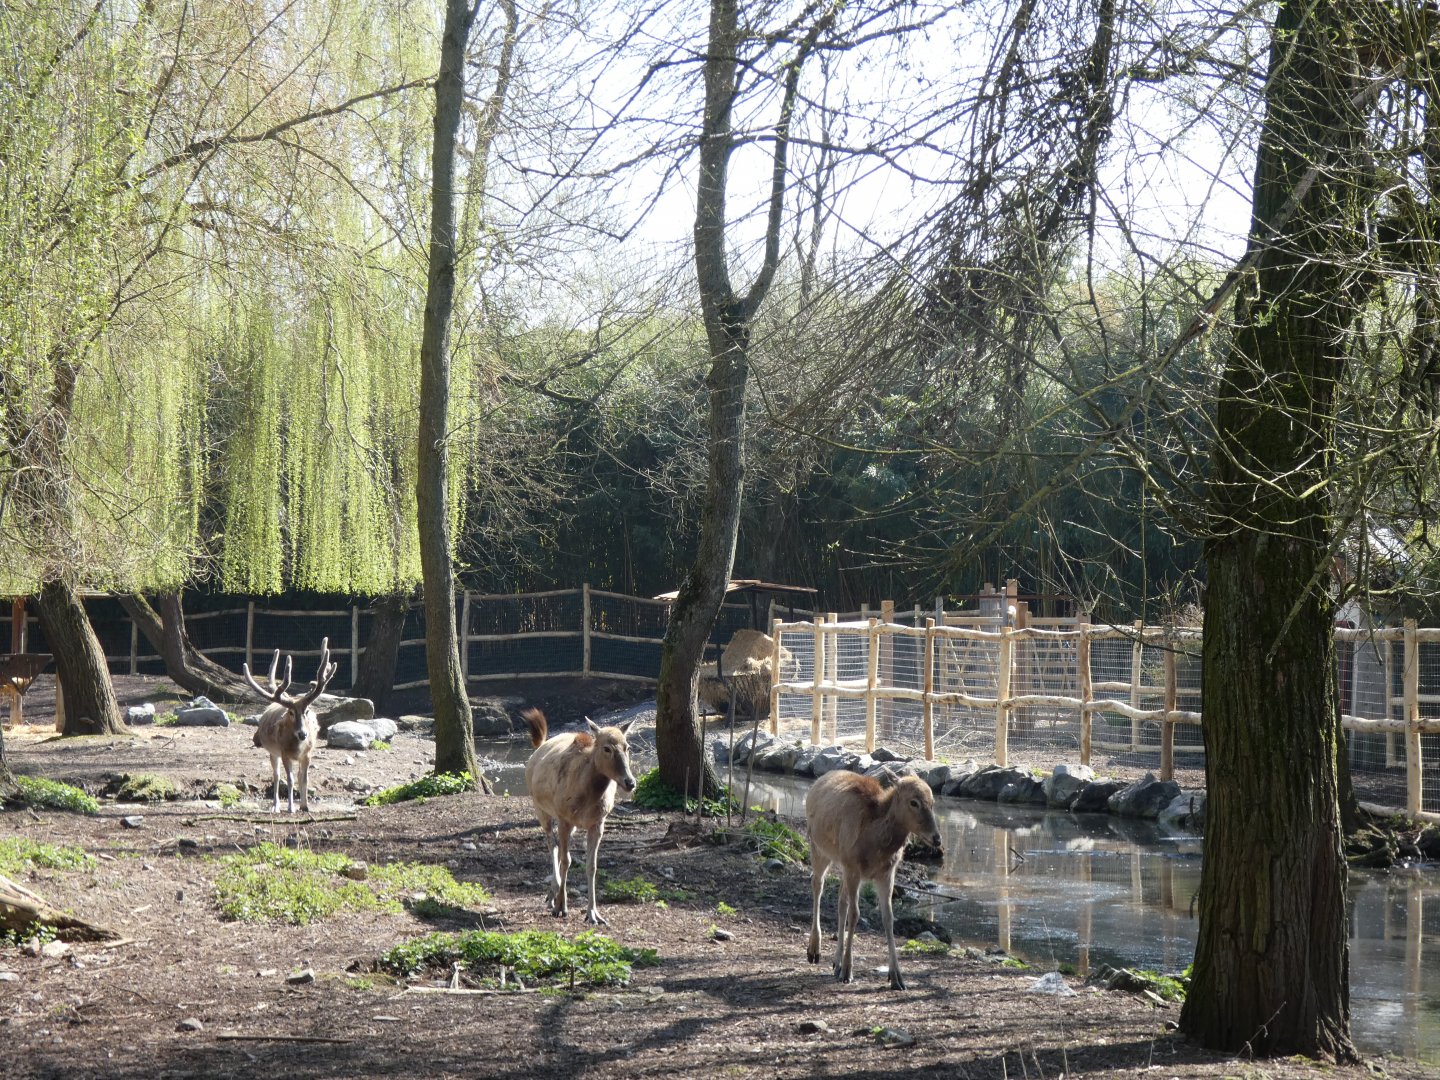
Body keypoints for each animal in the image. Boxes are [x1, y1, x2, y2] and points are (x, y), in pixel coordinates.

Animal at [242, 638, 337, 814]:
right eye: (291, 712)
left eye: (306, 711)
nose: (303, 734)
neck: (298, 747)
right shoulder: (284, 753)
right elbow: (290, 779)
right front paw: (291, 807)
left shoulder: (308, 754)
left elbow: (304, 778)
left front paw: (305, 806)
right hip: (273, 752)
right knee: (276, 775)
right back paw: (275, 806)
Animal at [522, 707, 637, 925]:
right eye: (607, 748)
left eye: (627, 747)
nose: (630, 782)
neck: (588, 796)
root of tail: (539, 747)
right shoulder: (564, 818)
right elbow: (566, 859)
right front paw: (561, 907)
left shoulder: (597, 823)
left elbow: (591, 865)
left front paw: (593, 913)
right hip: (541, 809)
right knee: (552, 844)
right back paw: (554, 895)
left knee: (558, 848)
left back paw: (551, 894)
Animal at [805, 771, 943, 990]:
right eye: (914, 802)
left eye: (932, 802)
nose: (937, 838)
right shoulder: (854, 867)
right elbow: (855, 914)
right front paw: (848, 971)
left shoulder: (886, 873)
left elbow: (888, 917)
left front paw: (897, 977)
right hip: (819, 847)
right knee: (817, 884)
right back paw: (814, 951)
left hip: (842, 864)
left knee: (840, 900)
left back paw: (835, 962)